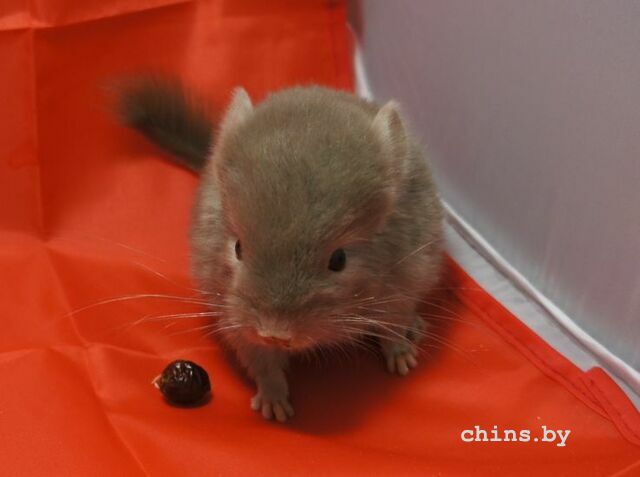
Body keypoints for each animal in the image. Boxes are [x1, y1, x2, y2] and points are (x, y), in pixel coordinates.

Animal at [119, 79, 444, 422]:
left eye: (339, 259)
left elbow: (392, 331)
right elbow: (262, 362)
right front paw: (274, 408)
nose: (274, 333)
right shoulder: (233, 317)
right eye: (238, 248)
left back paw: (416, 329)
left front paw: (404, 360)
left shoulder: (402, 288)